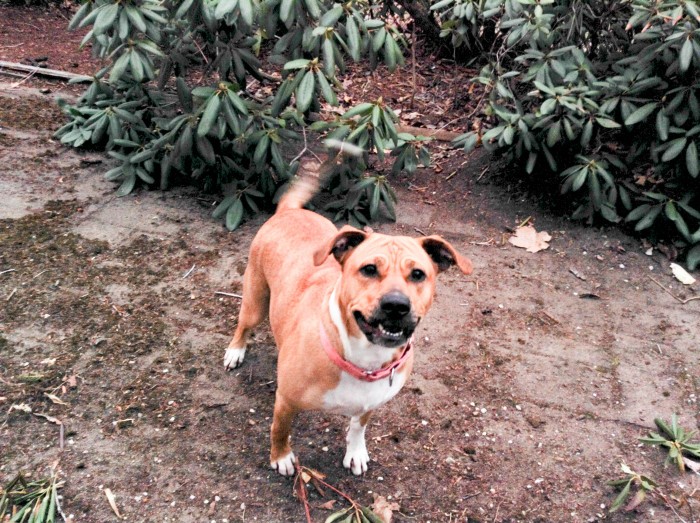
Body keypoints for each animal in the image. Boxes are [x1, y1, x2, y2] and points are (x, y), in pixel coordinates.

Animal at [227, 162, 474, 476]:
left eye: (418, 274)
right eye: (368, 269)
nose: (396, 305)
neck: (363, 361)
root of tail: (289, 211)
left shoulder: (369, 404)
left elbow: (358, 428)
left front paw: (355, 452)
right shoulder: (285, 401)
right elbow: (279, 430)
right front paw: (281, 457)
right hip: (255, 300)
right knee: (244, 325)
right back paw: (235, 351)